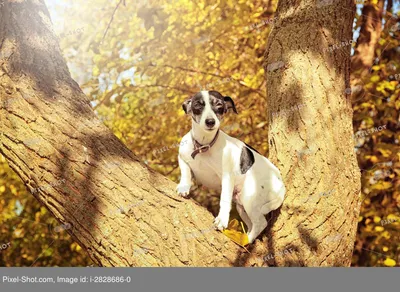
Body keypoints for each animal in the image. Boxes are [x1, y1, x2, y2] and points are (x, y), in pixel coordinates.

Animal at [177, 90, 286, 243]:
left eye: (219, 105)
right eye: (198, 105)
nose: (210, 121)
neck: (203, 146)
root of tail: (282, 187)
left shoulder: (227, 178)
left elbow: (224, 200)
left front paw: (222, 220)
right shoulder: (182, 158)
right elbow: (185, 173)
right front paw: (183, 187)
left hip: (249, 198)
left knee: (260, 223)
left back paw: (247, 241)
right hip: (241, 206)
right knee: (252, 223)